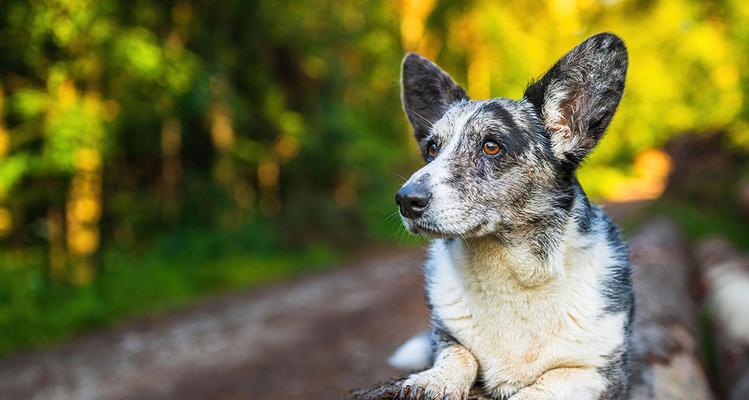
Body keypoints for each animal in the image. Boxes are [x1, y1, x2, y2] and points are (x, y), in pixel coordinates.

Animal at [388, 33, 636, 400]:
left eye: (492, 146)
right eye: (432, 149)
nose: (406, 200)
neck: (512, 272)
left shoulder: (598, 373)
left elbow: (543, 385)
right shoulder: (446, 338)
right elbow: (459, 354)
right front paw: (432, 380)